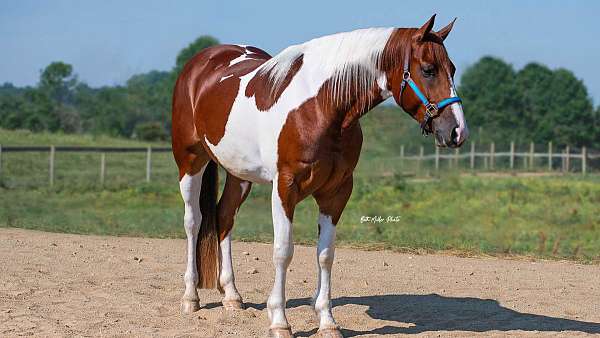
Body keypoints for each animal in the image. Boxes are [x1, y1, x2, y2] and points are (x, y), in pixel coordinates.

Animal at [171, 13, 466, 338]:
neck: (322, 106)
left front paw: (327, 321)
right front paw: (279, 321)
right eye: (428, 69)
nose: (457, 131)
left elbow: (325, 254)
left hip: (239, 173)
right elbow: (283, 251)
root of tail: (200, 64)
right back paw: (190, 297)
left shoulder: (336, 191)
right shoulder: (284, 187)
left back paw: (232, 297)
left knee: (224, 217)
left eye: (452, 69)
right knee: (193, 221)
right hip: (190, 162)